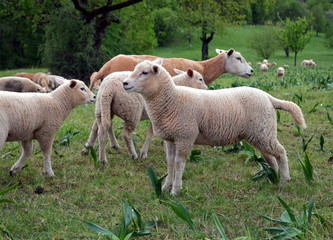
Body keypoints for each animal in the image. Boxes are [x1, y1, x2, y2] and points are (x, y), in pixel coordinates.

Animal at [122, 59, 306, 196]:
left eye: (145, 72)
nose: (124, 83)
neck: (172, 99)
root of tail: (268, 97)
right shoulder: (171, 139)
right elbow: (170, 163)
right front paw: (165, 187)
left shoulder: (185, 136)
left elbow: (179, 164)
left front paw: (176, 190)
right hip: (260, 134)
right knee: (271, 157)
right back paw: (273, 178)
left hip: (263, 131)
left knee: (281, 152)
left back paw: (283, 181)